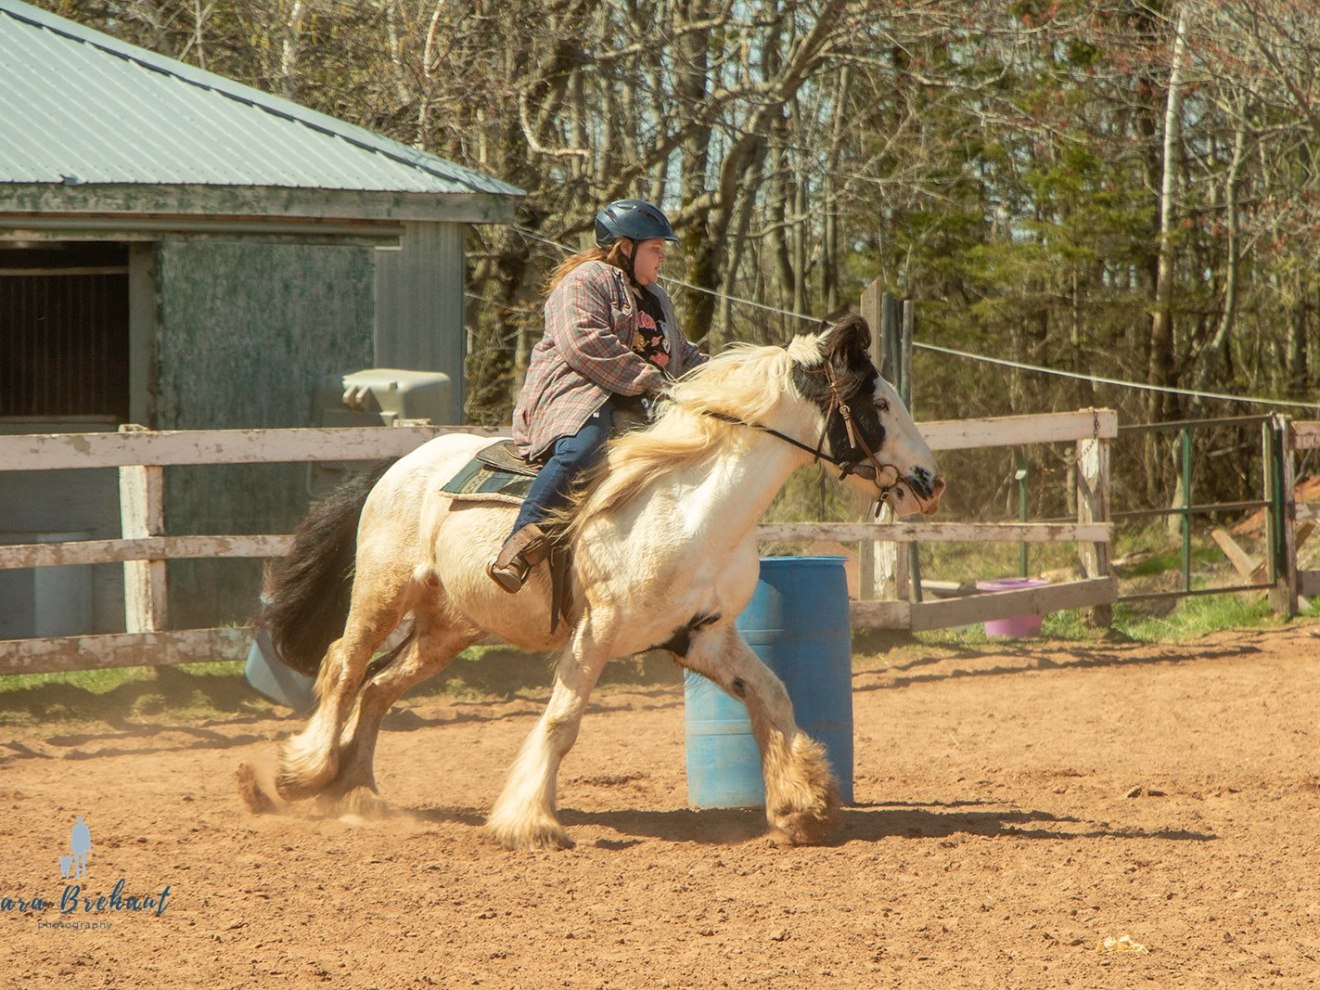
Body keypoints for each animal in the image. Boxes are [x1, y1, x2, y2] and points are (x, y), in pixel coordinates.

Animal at [246, 314, 943, 850]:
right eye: (880, 404)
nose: (930, 481)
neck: (693, 506)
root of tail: (398, 464)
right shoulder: (596, 631)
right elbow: (562, 723)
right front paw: (529, 821)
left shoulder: (705, 636)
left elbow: (773, 696)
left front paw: (805, 804)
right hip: (385, 592)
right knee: (344, 665)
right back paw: (301, 773)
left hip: (449, 629)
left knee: (378, 688)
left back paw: (358, 793)